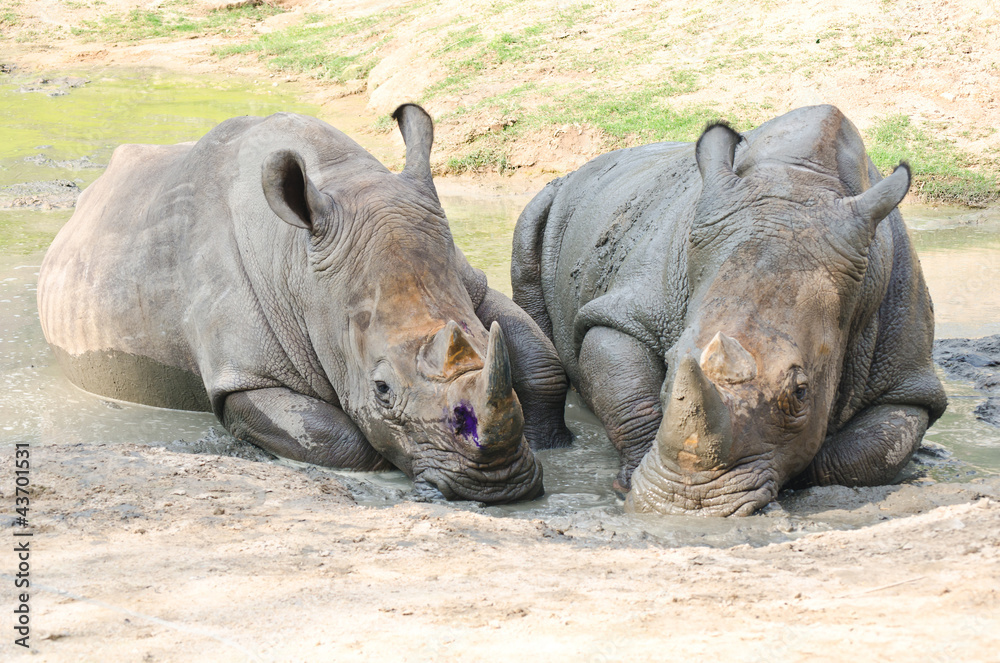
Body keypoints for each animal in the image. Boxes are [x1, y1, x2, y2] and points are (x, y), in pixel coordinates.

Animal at [37, 104, 571, 503]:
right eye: (381, 389)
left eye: (481, 338)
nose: (498, 486)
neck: (301, 270)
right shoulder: (245, 373)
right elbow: (339, 437)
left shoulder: (467, 281)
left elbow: (542, 364)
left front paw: (554, 441)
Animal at [512, 105, 947, 516]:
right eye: (670, 363)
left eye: (802, 392)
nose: (686, 507)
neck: (798, 182)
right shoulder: (626, 314)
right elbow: (631, 400)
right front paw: (632, 482)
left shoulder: (906, 377)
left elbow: (866, 454)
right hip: (555, 196)